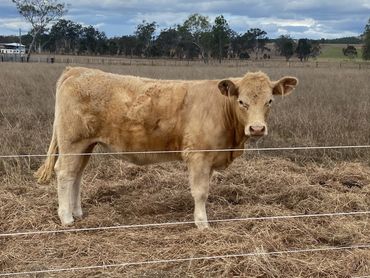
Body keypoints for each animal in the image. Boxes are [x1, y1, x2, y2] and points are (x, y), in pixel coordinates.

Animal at [35, 67, 298, 228]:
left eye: (269, 101)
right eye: (241, 101)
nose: (257, 128)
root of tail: (78, 70)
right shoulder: (198, 156)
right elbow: (200, 192)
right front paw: (202, 223)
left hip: (85, 145)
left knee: (77, 175)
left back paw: (77, 212)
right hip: (72, 142)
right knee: (65, 174)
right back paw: (66, 217)